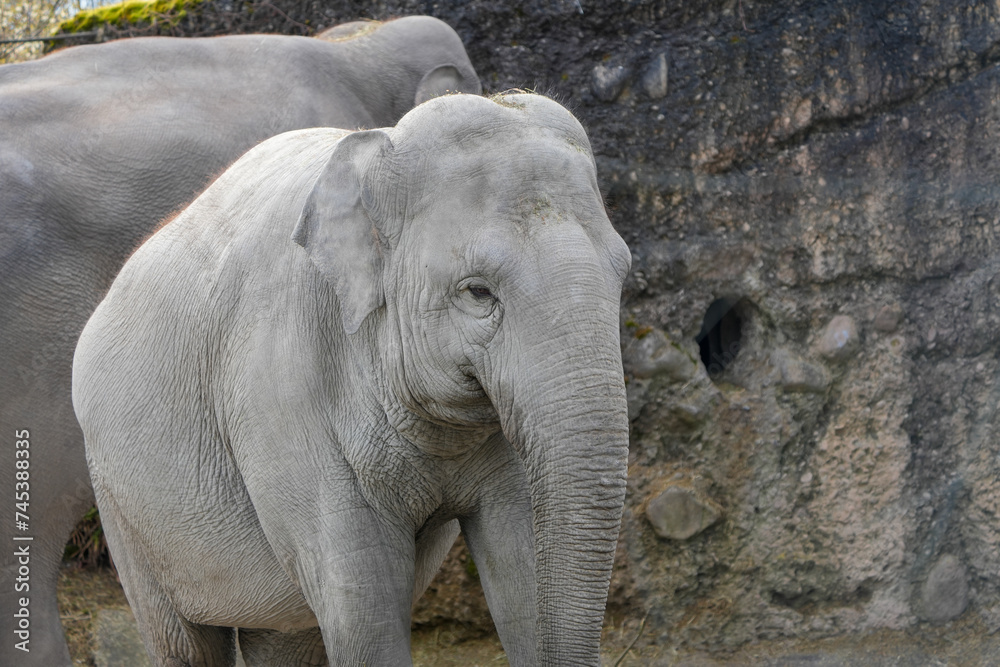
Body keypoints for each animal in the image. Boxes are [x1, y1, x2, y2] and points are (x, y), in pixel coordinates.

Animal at [72, 92, 631, 666]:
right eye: (478, 292)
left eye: (623, 274)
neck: (379, 151)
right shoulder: (281, 389)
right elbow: (364, 609)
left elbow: (522, 563)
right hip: (121, 506)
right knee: (186, 645)